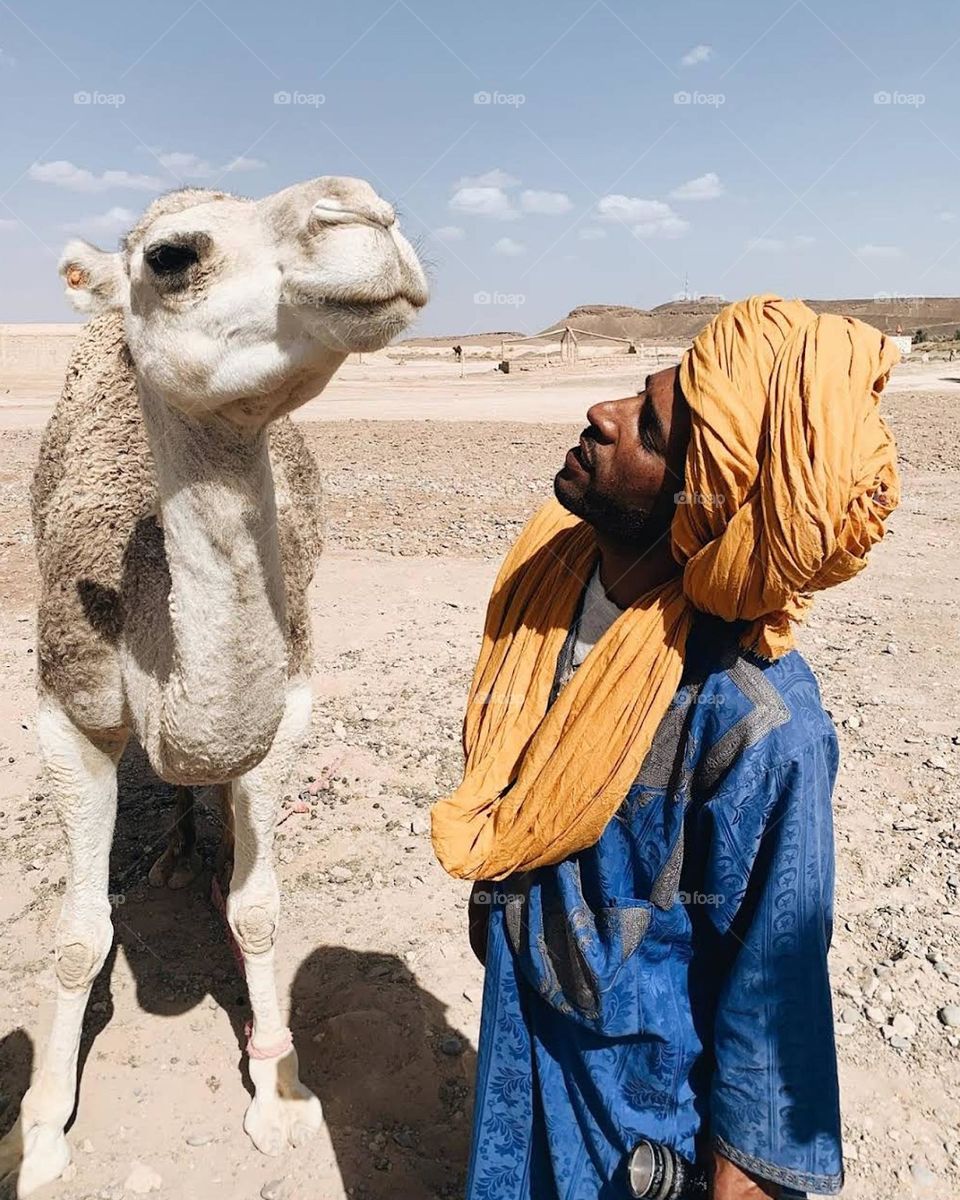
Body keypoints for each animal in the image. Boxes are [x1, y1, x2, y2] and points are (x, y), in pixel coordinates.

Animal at [1, 176, 428, 1196]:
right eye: (171, 257)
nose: (365, 214)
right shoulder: (64, 711)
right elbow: (78, 938)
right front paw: (42, 1135)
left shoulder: (288, 706)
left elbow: (259, 909)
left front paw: (279, 1097)